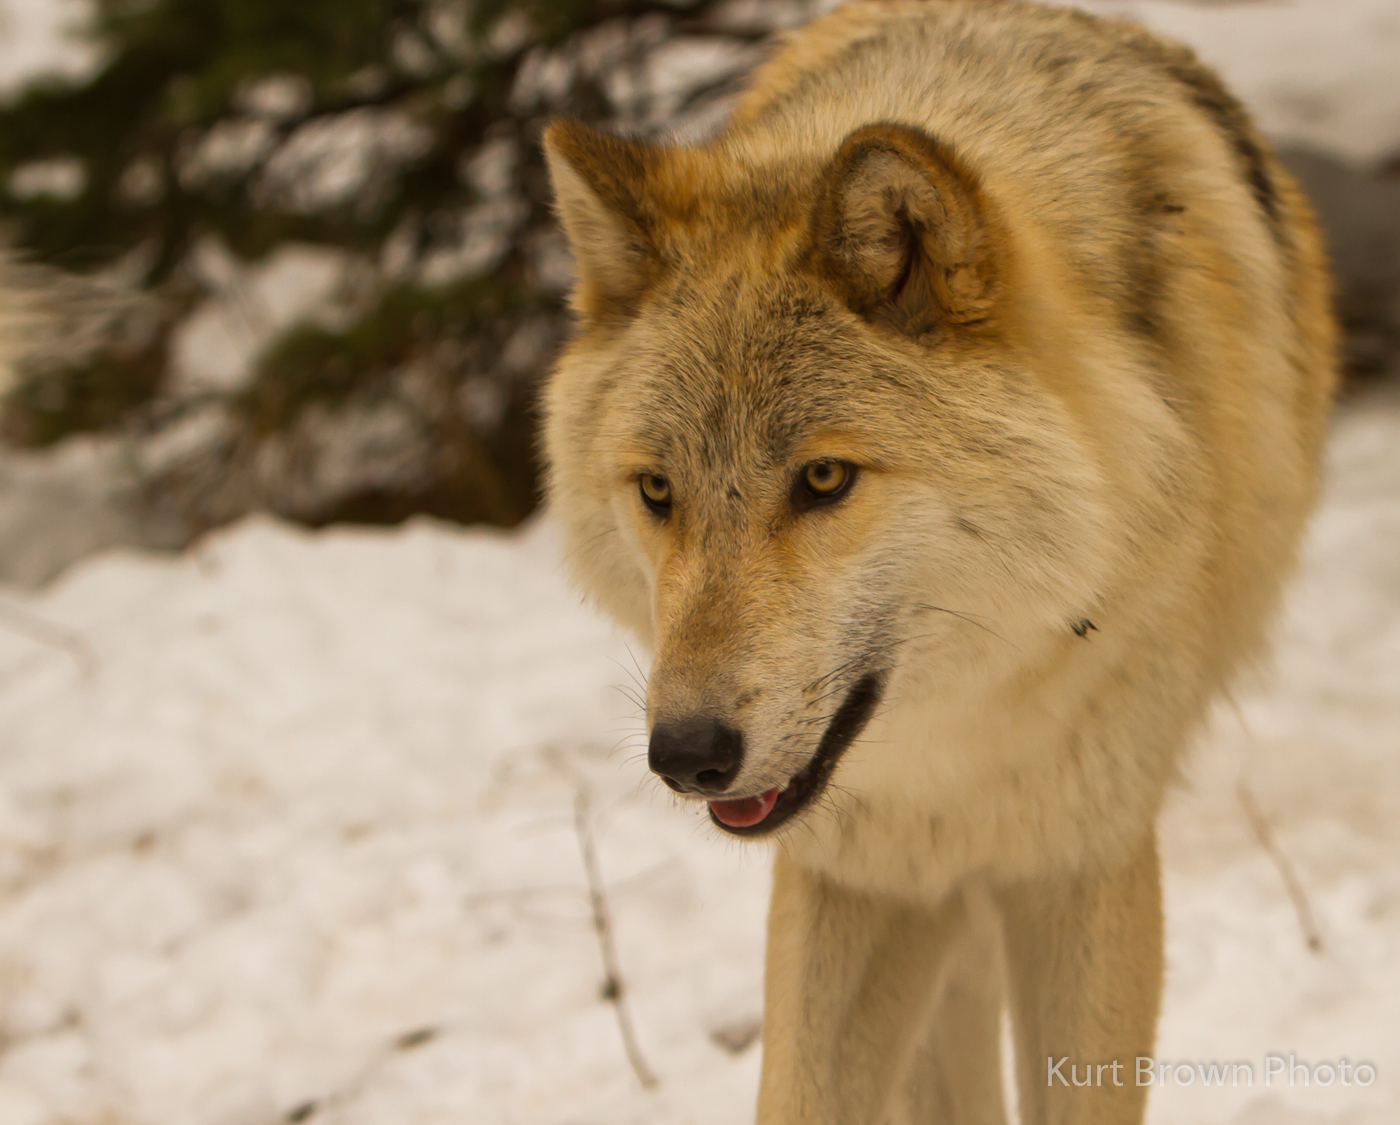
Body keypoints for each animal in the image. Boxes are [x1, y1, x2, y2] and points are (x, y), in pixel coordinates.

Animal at [534, 4, 1332, 1119]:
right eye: (656, 491)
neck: (957, 735)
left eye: (824, 478)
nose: (686, 755)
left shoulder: (1084, 858)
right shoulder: (860, 874)